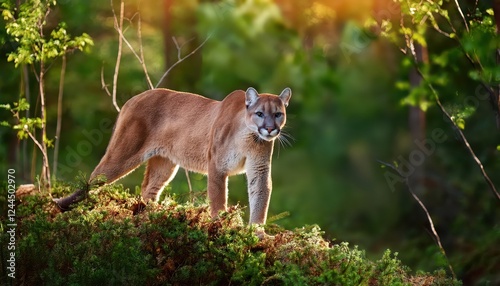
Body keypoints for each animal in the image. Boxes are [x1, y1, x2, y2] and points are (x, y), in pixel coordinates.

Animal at [56, 88, 292, 227]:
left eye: (278, 114)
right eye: (260, 113)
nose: (270, 129)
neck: (247, 135)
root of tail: (135, 98)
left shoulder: (259, 168)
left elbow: (261, 196)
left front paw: (257, 232)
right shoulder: (217, 166)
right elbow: (218, 199)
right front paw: (221, 225)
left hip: (164, 164)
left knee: (148, 190)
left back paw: (150, 217)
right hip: (123, 153)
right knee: (93, 179)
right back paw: (63, 205)